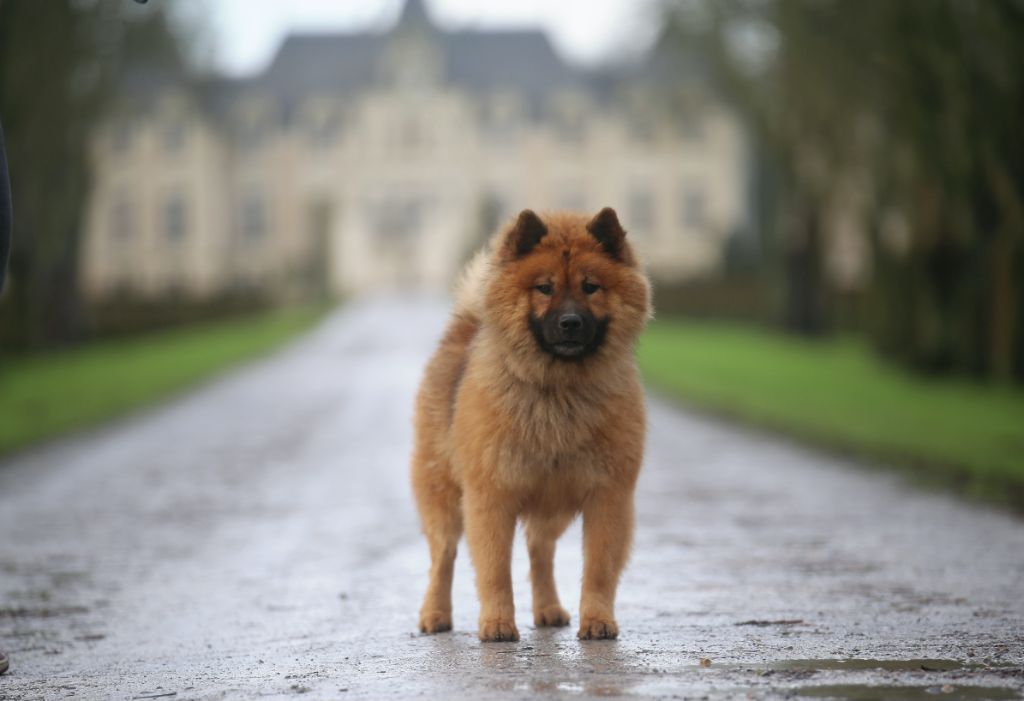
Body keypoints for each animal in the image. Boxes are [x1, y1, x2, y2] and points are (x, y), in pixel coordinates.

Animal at [407, 206, 647, 638]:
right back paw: (434, 614)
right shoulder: (490, 495)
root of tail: (463, 330)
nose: (570, 322)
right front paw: (498, 623)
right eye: (544, 288)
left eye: (590, 287)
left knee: (540, 551)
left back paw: (548, 609)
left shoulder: (608, 495)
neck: (557, 390)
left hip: (554, 506)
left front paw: (597, 620)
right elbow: (494, 570)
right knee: (443, 557)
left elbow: (599, 568)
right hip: (444, 496)